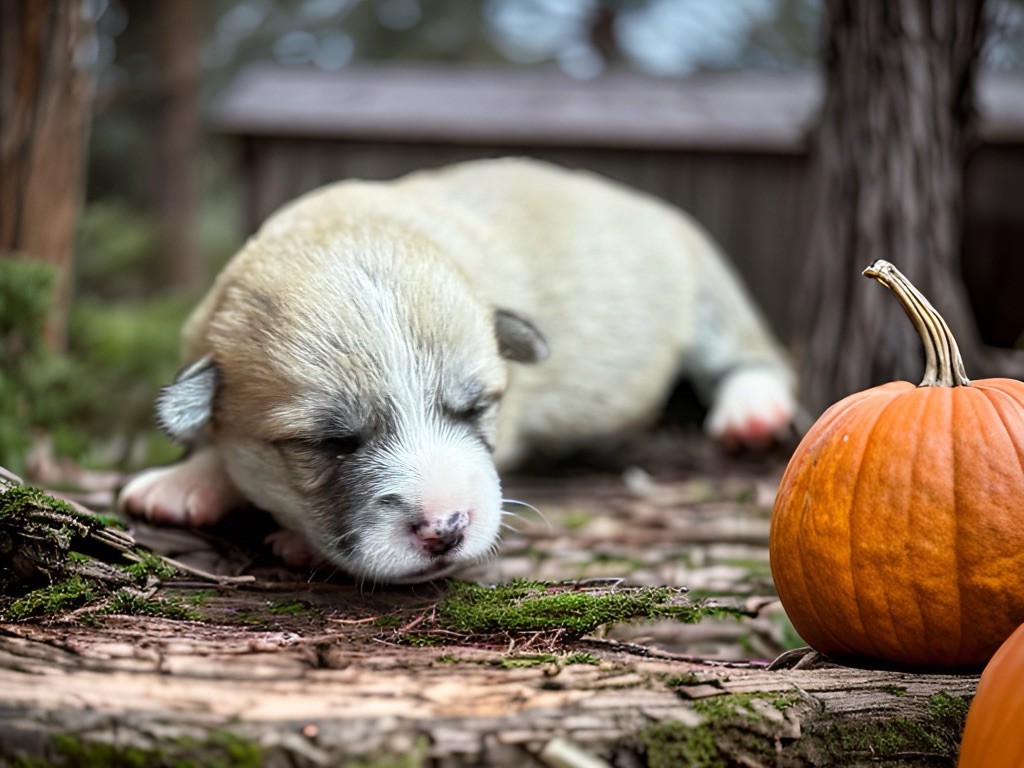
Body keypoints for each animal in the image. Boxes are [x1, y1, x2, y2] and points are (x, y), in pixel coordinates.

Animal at [117, 160, 790, 581]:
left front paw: (293, 539)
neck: (349, 228)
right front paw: (187, 480)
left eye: (475, 408)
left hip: (709, 285)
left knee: (755, 355)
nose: (445, 528)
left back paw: (752, 411)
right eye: (331, 443)